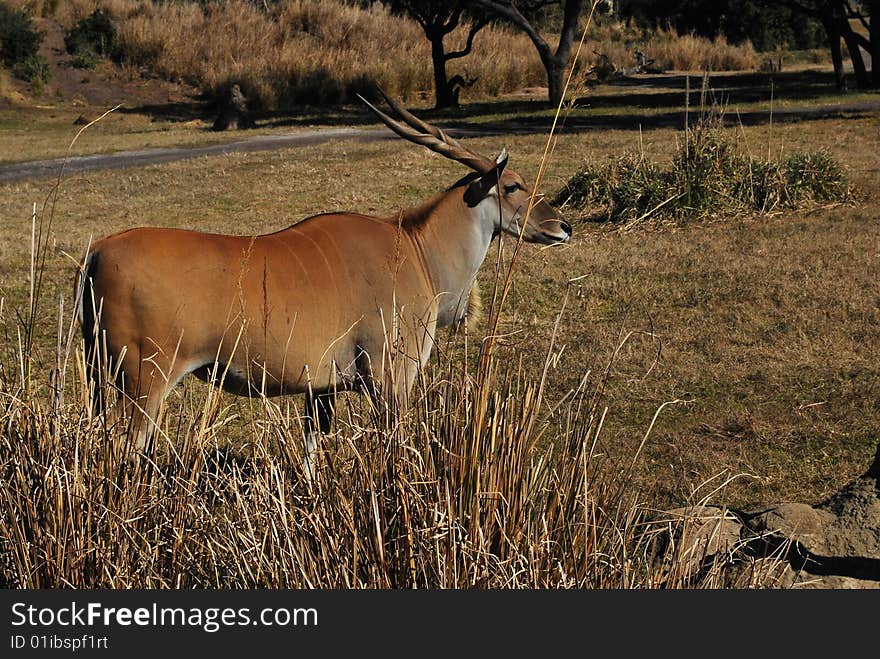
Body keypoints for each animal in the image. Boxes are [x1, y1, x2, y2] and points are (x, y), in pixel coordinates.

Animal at [74, 90, 572, 476]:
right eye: (513, 186)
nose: (563, 227)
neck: (416, 250)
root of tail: (98, 250)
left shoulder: (322, 390)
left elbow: (312, 454)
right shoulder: (391, 378)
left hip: (102, 377)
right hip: (144, 379)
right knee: (120, 451)